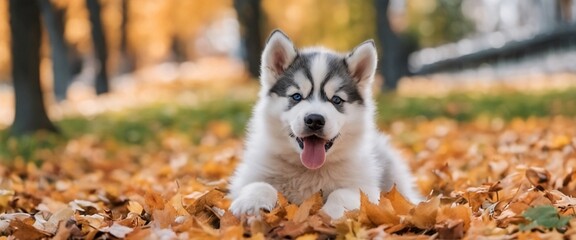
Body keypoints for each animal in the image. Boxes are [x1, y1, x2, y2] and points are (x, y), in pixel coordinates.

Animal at [230, 29, 424, 218]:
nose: (315, 120)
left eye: (336, 100)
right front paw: (250, 204)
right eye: (297, 97)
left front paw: (330, 214)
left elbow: (342, 194)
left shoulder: (368, 190)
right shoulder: (248, 176)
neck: (309, 170)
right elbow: (259, 184)